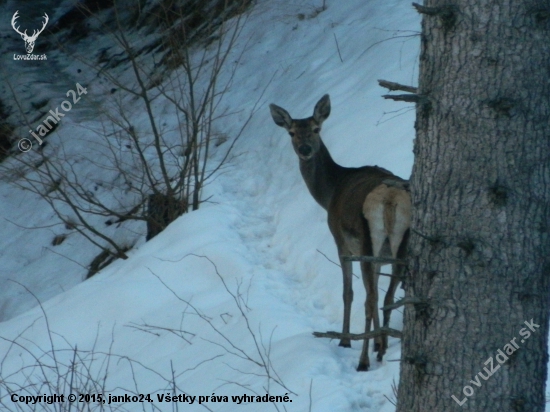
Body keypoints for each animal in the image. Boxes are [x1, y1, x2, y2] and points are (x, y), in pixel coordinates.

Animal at [270, 95, 412, 372]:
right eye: (292, 132)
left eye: (316, 129)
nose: (305, 149)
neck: (329, 194)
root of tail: (390, 198)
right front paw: (379, 343)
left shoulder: (341, 241)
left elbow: (348, 293)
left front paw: (345, 340)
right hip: (401, 243)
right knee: (387, 295)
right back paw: (380, 350)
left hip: (367, 240)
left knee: (369, 298)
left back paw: (363, 360)